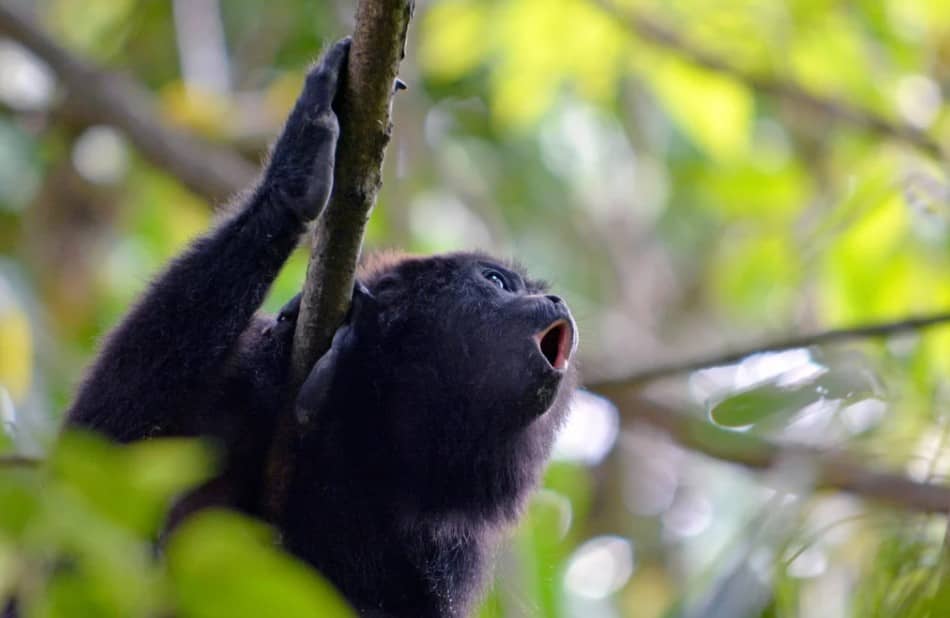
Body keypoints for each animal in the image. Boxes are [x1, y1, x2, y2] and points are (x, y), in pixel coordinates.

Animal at [63, 38, 578, 618]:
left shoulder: (453, 552)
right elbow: (101, 458)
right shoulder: (248, 372)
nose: (556, 299)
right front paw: (296, 171)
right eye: (496, 281)